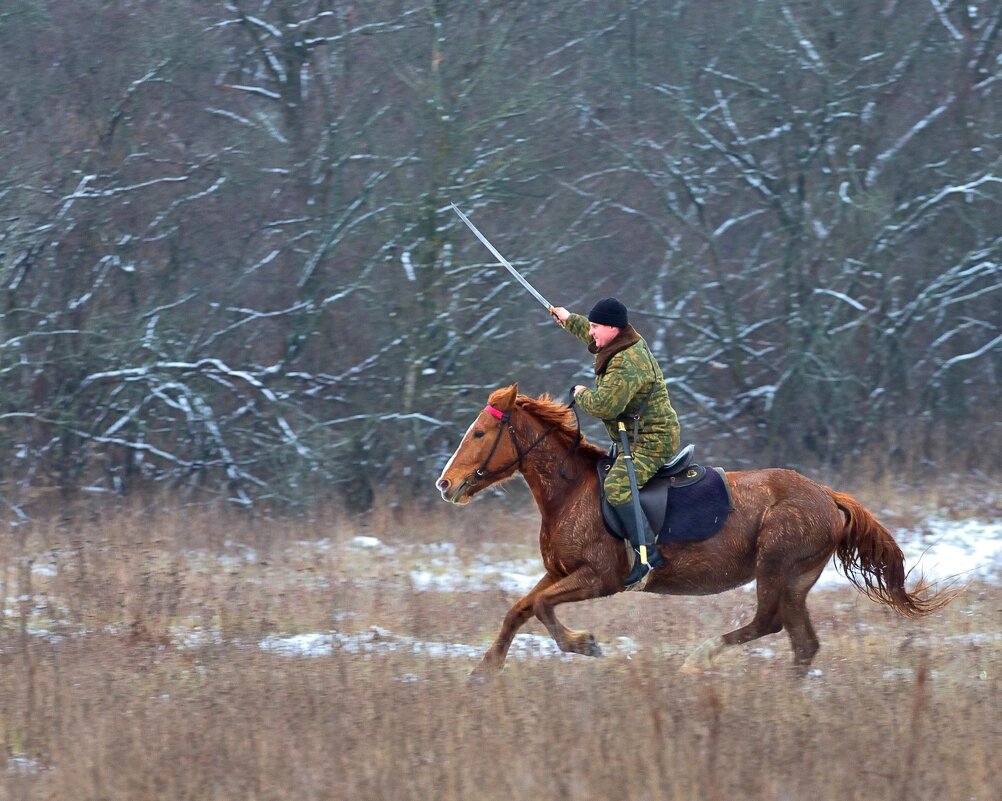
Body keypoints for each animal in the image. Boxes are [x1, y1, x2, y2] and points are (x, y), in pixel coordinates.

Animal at [436, 384, 953, 673]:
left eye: (479, 433)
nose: (446, 484)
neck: (571, 492)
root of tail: (828, 496)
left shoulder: (598, 578)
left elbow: (541, 607)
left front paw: (585, 645)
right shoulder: (559, 572)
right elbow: (519, 609)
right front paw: (485, 670)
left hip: (776, 568)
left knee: (767, 624)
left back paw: (696, 659)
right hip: (796, 580)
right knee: (803, 644)